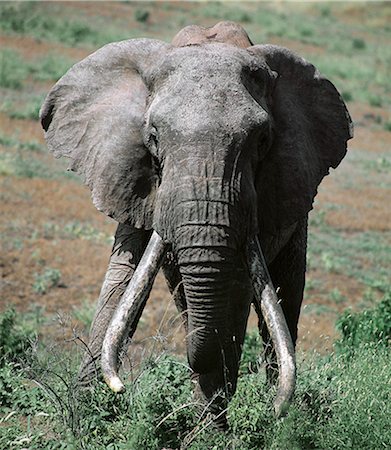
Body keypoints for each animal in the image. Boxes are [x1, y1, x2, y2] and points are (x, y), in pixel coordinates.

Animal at [41, 22, 354, 428]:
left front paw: (209, 430)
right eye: (153, 137)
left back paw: (274, 414)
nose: (124, 389)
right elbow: (125, 277)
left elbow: (236, 289)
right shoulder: (128, 172)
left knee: (284, 294)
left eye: (261, 140)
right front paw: (87, 417)